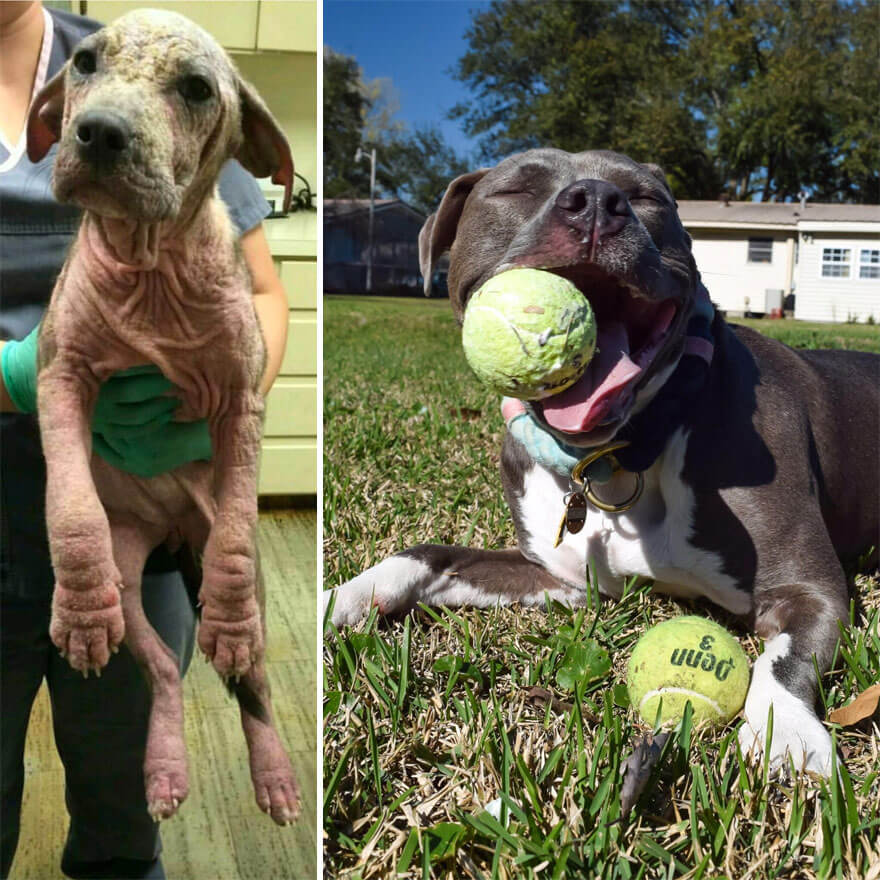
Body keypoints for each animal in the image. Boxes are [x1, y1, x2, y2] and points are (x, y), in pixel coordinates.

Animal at [26, 8, 300, 824]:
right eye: (84, 62)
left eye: (198, 89)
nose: (99, 132)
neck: (149, 268)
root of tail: (173, 532)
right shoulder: (58, 378)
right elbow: (71, 504)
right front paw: (79, 612)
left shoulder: (243, 399)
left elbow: (240, 520)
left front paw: (229, 621)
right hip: (131, 570)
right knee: (161, 671)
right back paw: (164, 765)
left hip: (231, 569)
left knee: (254, 687)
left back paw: (272, 769)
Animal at [328, 150, 880, 776]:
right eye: (515, 188)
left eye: (644, 198)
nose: (595, 201)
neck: (614, 454)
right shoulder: (562, 578)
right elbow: (428, 553)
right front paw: (340, 598)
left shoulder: (809, 589)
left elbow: (784, 659)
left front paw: (785, 732)